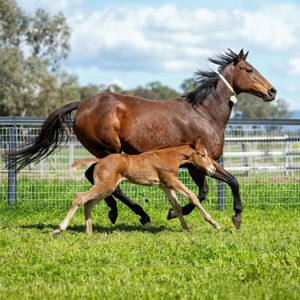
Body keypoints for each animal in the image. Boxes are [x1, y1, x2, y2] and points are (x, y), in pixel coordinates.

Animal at [52, 137, 220, 236]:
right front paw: (215, 223)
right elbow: (192, 196)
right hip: (105, 186)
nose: (212, 170)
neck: (168, 157)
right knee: (79, 197)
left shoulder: (165, 186)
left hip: (106, 189)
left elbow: (177, 206)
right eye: (202, 154)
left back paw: (89, 232)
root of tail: (100, 160)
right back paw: (60, 228)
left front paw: (186, 228)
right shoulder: (172, 181)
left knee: (88, 204)